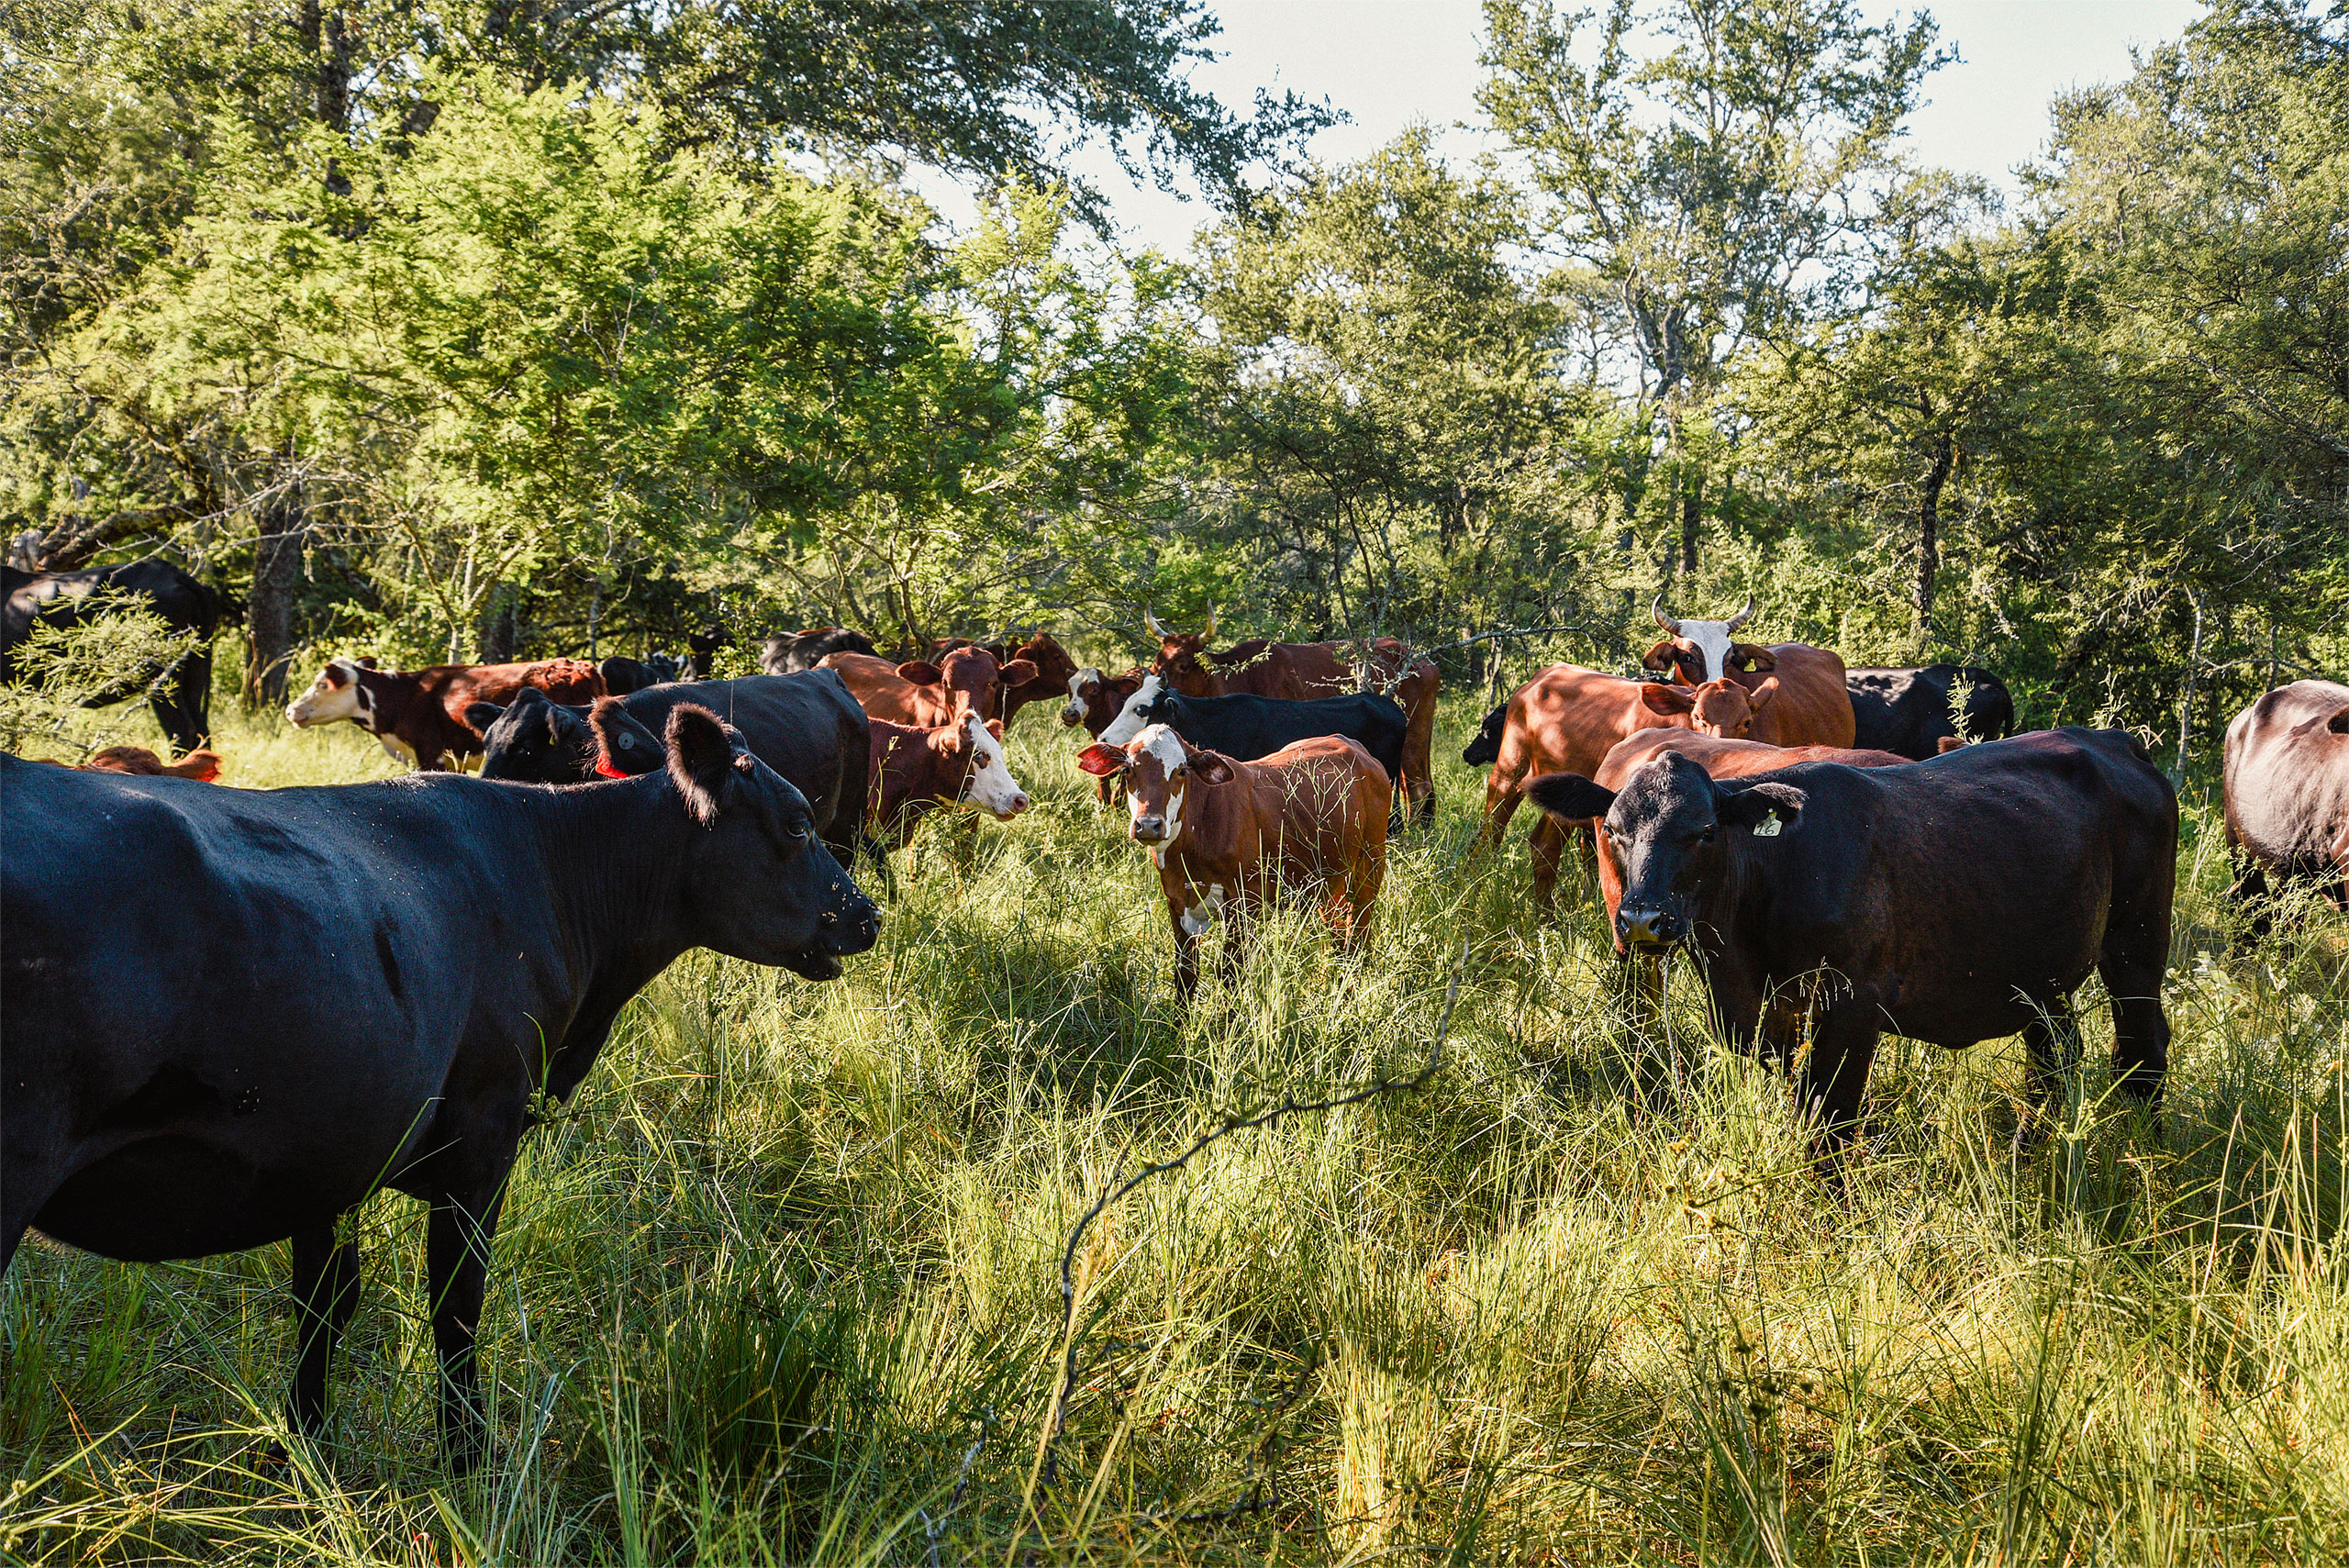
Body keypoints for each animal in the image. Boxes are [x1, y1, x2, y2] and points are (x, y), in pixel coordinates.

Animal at [0, 709, 879, 1466]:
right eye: (797, 824)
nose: (867, 914)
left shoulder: (330, 1145)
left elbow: (324, 1302)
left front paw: (305, 1443)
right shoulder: (483, 1134)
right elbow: (457, 1306)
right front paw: (467, 1459)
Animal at [1075, 724, 1390, 999]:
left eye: (1181, 771)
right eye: (1127, 770)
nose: (1149, 825)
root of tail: (1357, 749)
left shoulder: (1243, 905)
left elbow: (1230, 974)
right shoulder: (1176, 902)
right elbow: (1185, 974)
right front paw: (1181, 1027)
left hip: (1371, 863)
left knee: (1359, 935)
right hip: (1327, 882)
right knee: (1338, 935)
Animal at [1473, 664, 1811, 913]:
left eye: (1746, 721)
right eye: (1698, 717)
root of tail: (1539, 678)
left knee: (1537, 843)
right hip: (1510, 771)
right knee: (1497, 835)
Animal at [1522, 728, 2175, 1160]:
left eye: (1705, 832)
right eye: (1613, 830)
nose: (1642, 919)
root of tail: (2117, 742)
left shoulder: (1853, 1005)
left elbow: (1828, 1119)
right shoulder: (1768, 1011)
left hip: (2137, 945)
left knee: (2141, 1047)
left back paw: (2143, 1157)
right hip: (2041, 975)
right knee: (2057, 1055)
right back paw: (2026, 1150)